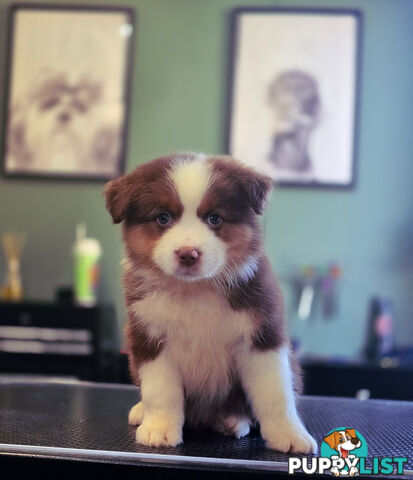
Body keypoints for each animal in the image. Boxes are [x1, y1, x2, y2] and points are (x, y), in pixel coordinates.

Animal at [105, 153, 316, 454]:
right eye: (163, 218)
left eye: (215, 218)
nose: (188, 254)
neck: (196, 289)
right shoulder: (149, 337)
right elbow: (160, 391)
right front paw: (159, 429)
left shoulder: (262, 334)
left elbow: (274, 392)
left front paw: (289, 435)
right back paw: (141, 411)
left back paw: (233, 421)